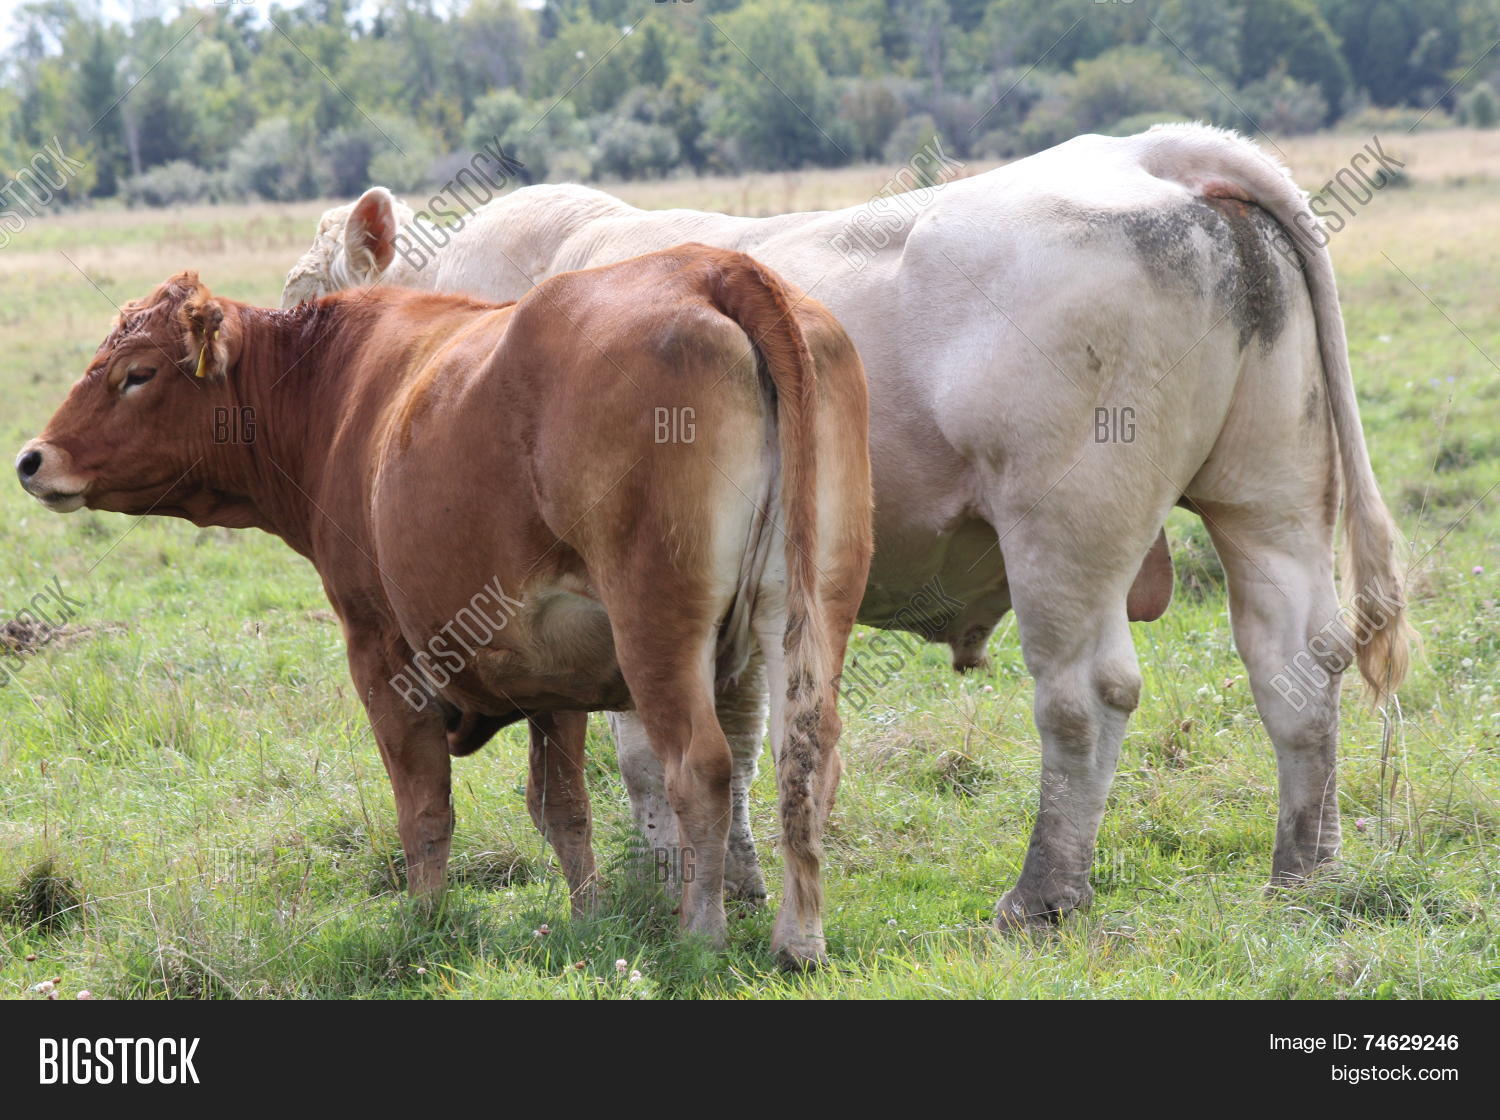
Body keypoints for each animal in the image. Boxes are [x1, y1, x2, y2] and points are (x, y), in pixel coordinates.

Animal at [17, 246, 873, 967]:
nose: (32, 458)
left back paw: (700, 936)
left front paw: (425, 922)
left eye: (137, 372)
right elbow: (562, 808)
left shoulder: (381, 649)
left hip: (657, 626)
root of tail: (710, 265)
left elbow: (423, 808)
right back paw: (799, 941)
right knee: (806, 757)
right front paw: (589, 919)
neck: (335, 392)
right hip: (807, 612)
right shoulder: (550, 669)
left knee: (700, 768)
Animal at [284, 123, 1412, 927]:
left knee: (1084, 695)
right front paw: (730, 881)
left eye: (300, 305)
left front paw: (663, 883)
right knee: (1296, 666)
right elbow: (735, 740)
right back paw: (1305, 872)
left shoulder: (622, 587)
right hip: (1268, 498)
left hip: (1065, 523)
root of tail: (1151, 154)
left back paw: (1042, 894)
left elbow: (649, 747)